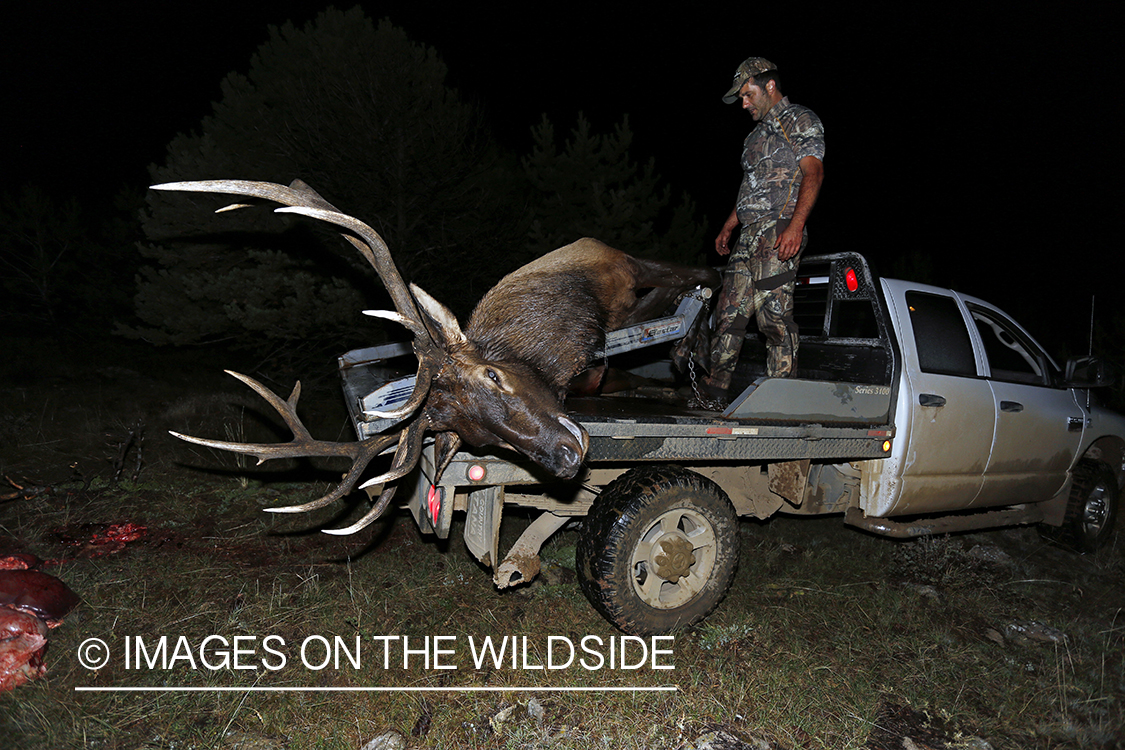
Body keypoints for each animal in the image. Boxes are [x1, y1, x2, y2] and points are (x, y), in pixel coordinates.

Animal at [151, 179, 720, 532]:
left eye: (493, 375)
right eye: (478, 440)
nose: (566, 456)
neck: (575, 326)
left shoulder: (617, 264)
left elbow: (702, 275)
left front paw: (695, 352)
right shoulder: (599, 370)